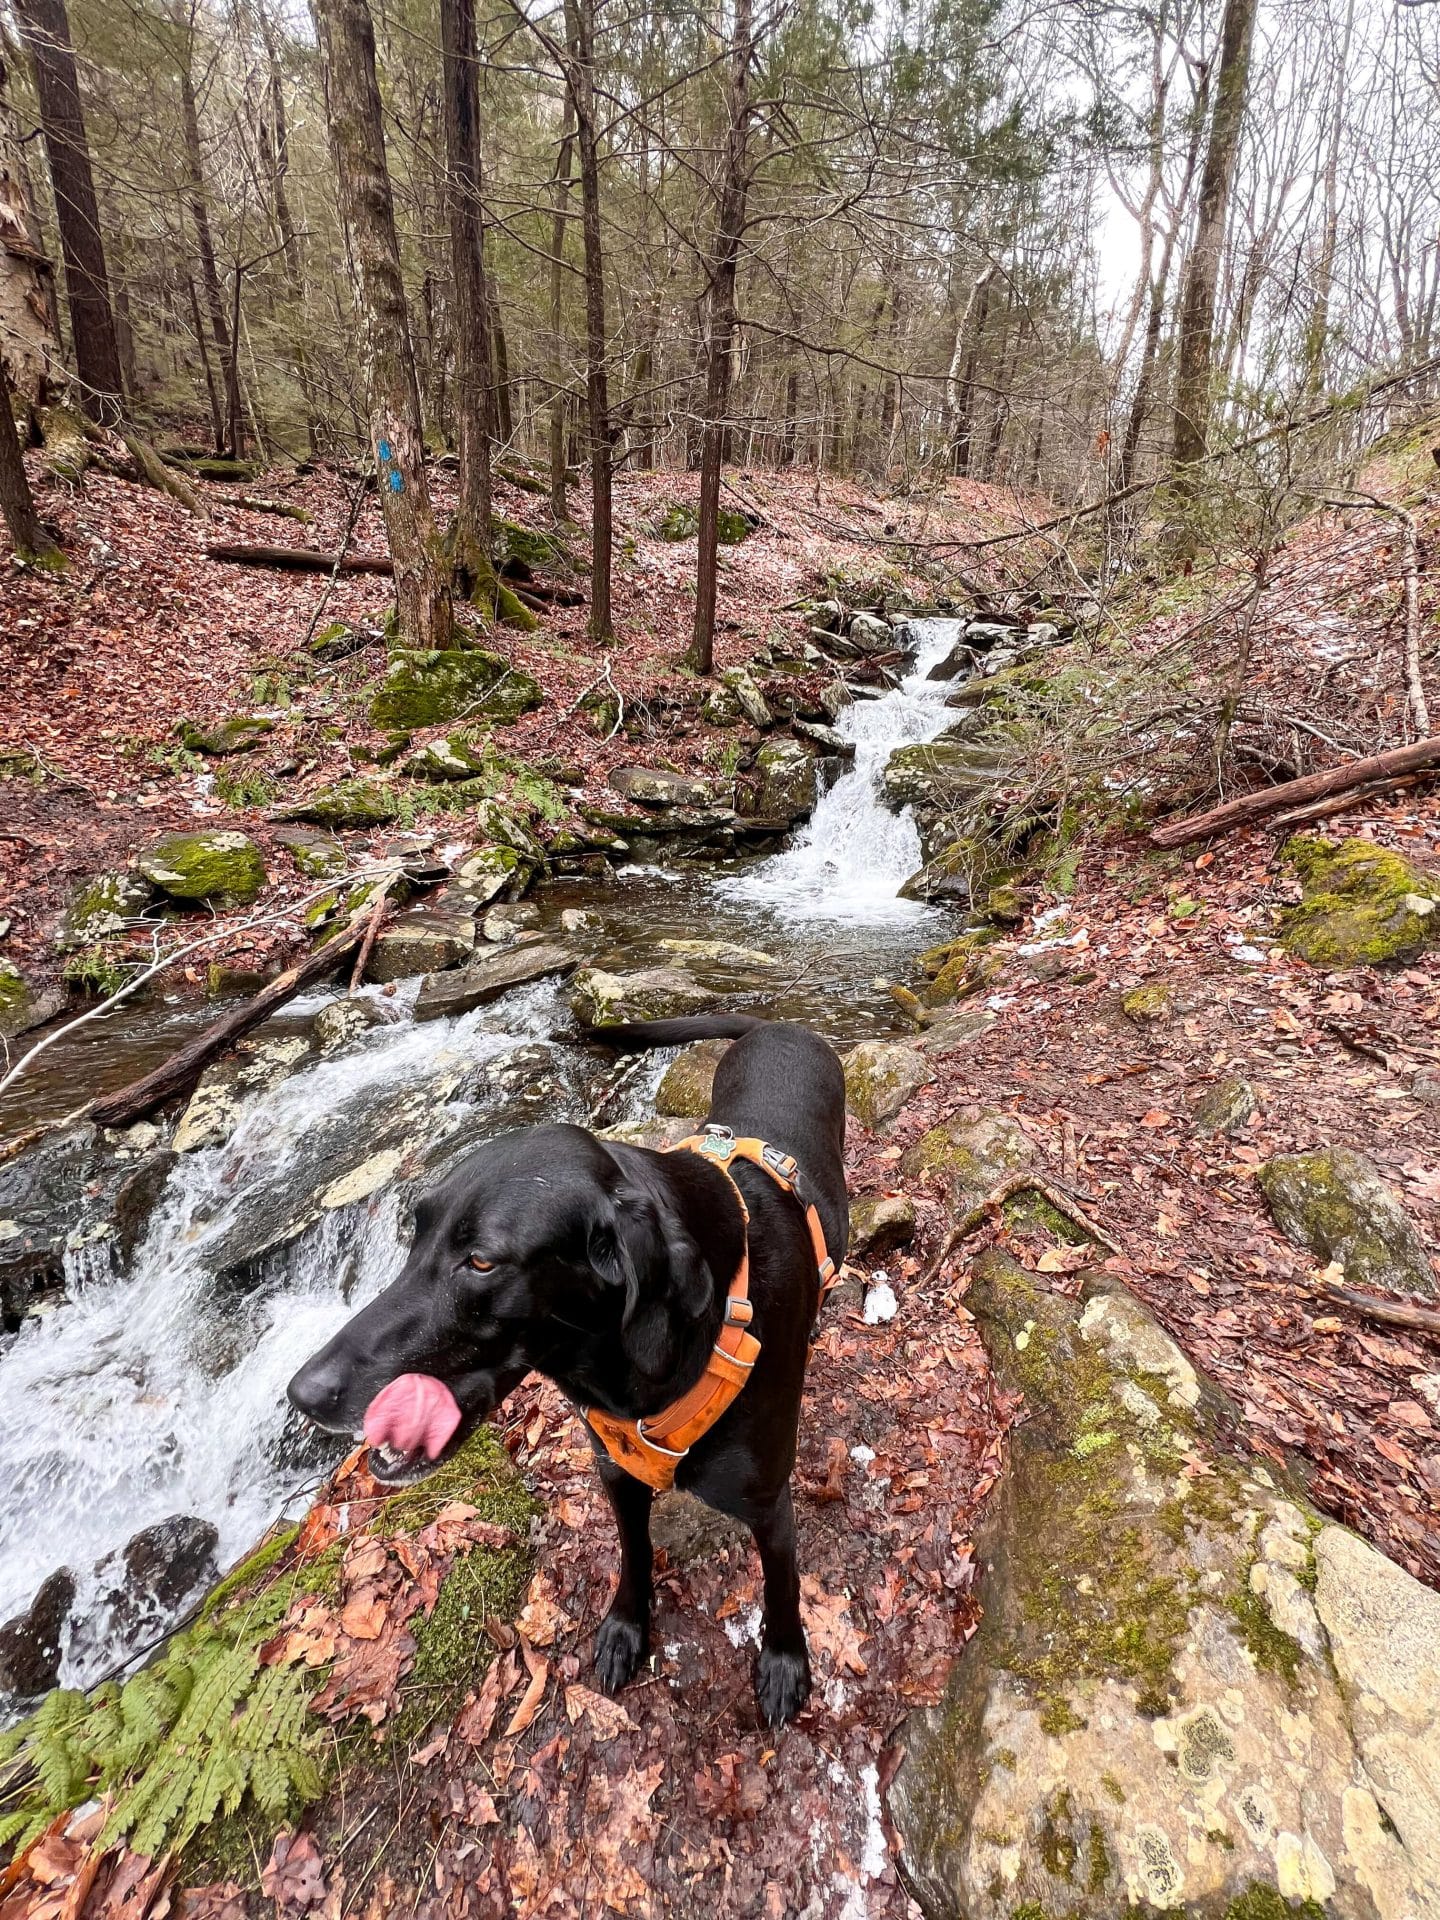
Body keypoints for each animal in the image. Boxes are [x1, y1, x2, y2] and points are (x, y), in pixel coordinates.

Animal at [286, 1021, 844, 1728]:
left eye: (482, 1261)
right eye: (415, 1235)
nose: (303, 1393)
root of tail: (778, 1023)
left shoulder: (769, 1505)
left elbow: (782, 1583)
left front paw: (784, 1660)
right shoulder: (618, 1474)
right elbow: (634, 1554)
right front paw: (628, 1628)